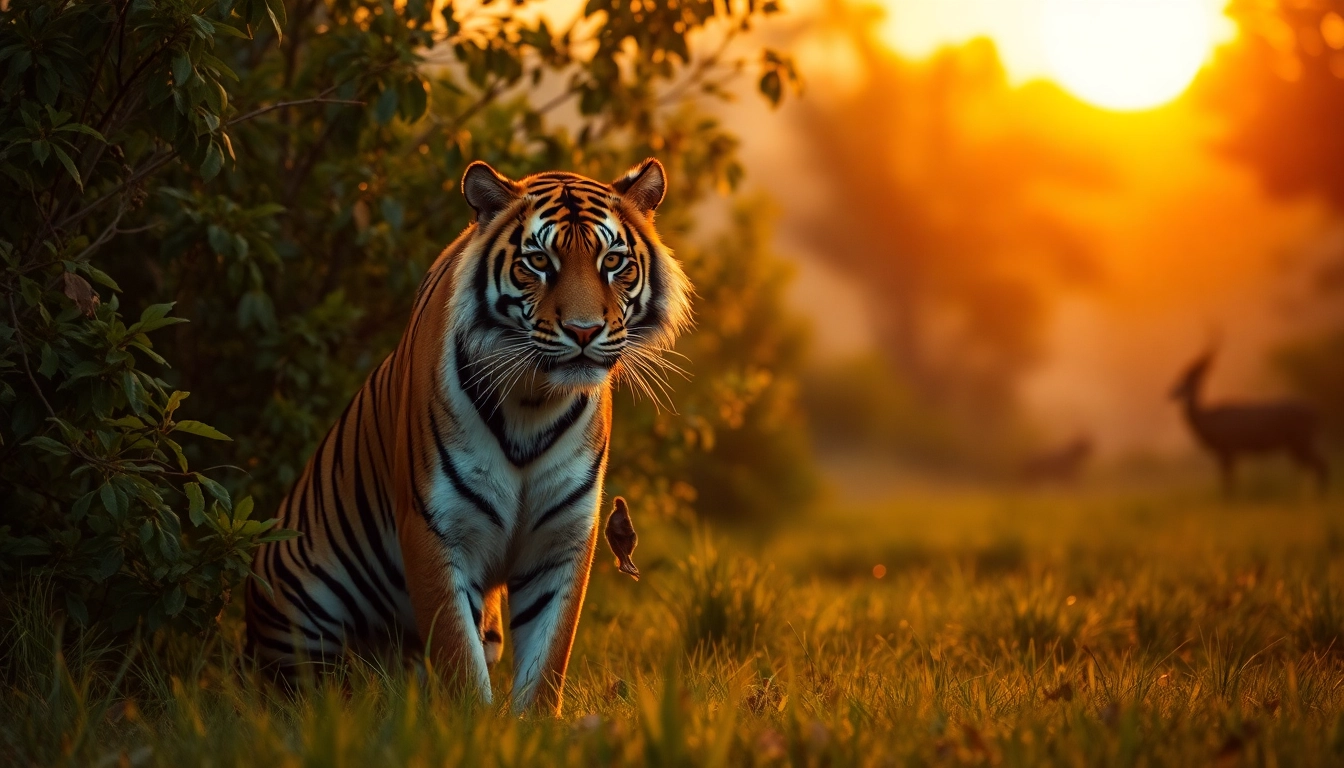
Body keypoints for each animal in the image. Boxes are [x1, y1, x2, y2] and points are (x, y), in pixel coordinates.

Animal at [244, 158, 691, 715]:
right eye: (538, 262)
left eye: (613, 261)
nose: (584, 331)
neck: (534, 402)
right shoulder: (436, 527)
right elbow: (458, 656)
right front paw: (471, 724)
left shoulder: (562, 537)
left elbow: (547, 661)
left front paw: (531, 727)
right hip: (296, 599)